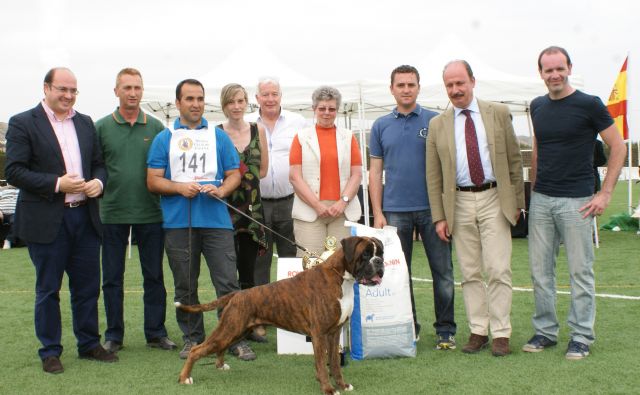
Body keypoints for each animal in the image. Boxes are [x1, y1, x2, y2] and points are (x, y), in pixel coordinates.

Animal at [175, 237, 382, 394]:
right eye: (365, 254)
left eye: (380, 252)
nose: (379, 262)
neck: (340, 277)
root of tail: (237, 294)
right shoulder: (319, 334)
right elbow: (322, 365)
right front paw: (328, 389)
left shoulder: (334, 333)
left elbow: (335, 364)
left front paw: (342, 385)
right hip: (229, 329)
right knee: (196, 350)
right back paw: (185, 378)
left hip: (236, 330)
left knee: (221, 347)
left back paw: (220, 366)